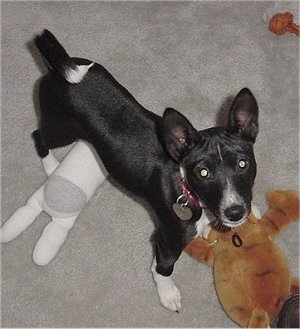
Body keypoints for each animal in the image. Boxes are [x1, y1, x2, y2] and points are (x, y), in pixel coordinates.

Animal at [32, 30, 258, 310]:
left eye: (243, 164)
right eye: (203, 172)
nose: (235, 212)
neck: (185, 185)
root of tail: (60, 68)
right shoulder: (167, 240)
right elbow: (164, 270)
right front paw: (167, 294)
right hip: (60, 129)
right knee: (39, 136)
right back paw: (52, 166)